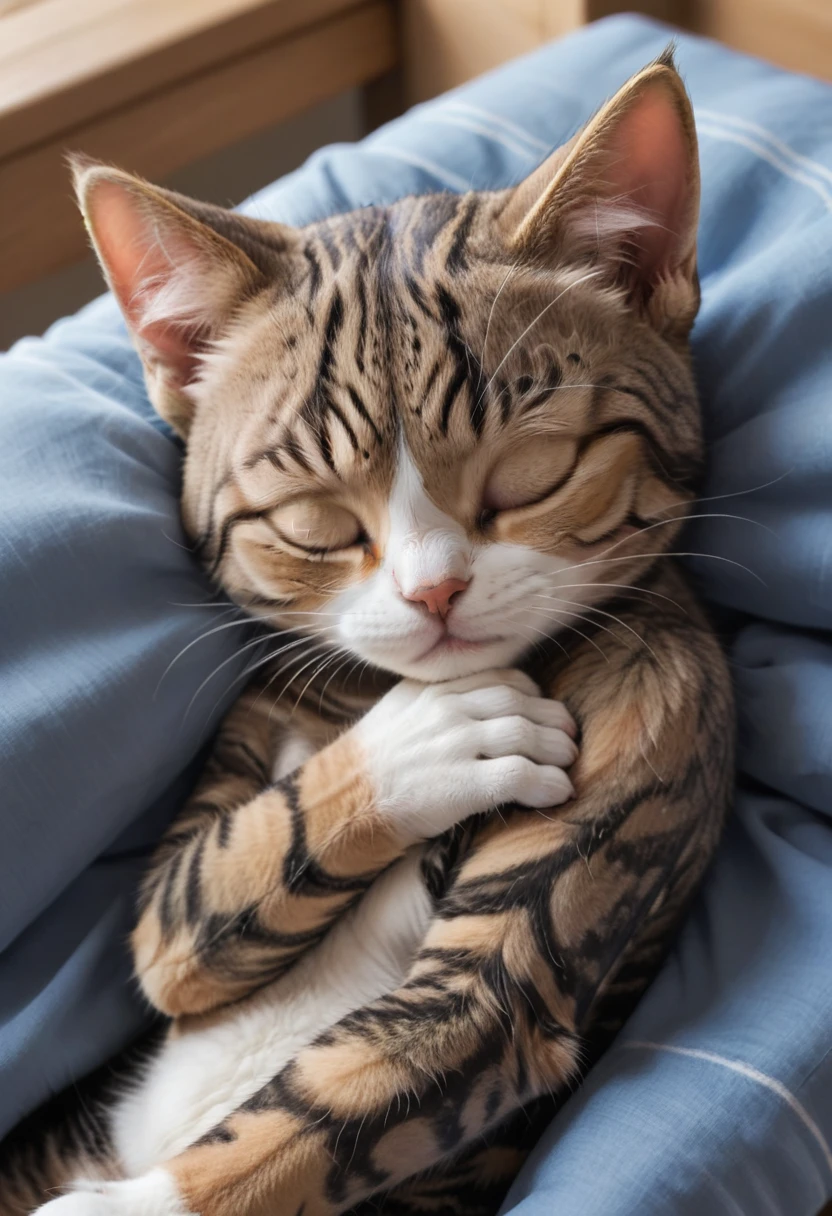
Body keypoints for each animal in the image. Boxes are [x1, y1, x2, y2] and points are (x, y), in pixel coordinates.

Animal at [6, 52, 734, 1216]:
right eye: (316, 520)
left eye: (532, 475)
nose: (435, 591)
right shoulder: (249, 735)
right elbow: (181, 924)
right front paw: (426, 744)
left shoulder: (661, 703)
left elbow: (401, 1054)